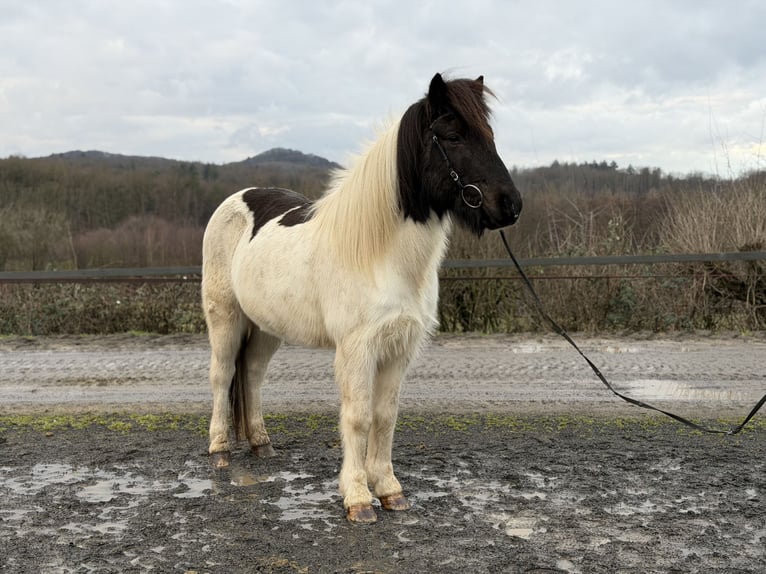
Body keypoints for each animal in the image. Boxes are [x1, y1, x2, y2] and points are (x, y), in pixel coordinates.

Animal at [201, 73, 523, 523]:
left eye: (490, 135)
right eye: (454, 136)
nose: (510, 206)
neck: (380, 254)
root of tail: (234, 200)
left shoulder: (399, 349)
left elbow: (384, 417)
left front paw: (389, 490)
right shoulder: (356, 349)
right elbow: (357, 417)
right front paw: (357, 498)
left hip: (266, 328)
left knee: (251, 374)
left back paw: (261, 444)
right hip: (225, 317)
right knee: (222, 374)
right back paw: (220, 451)